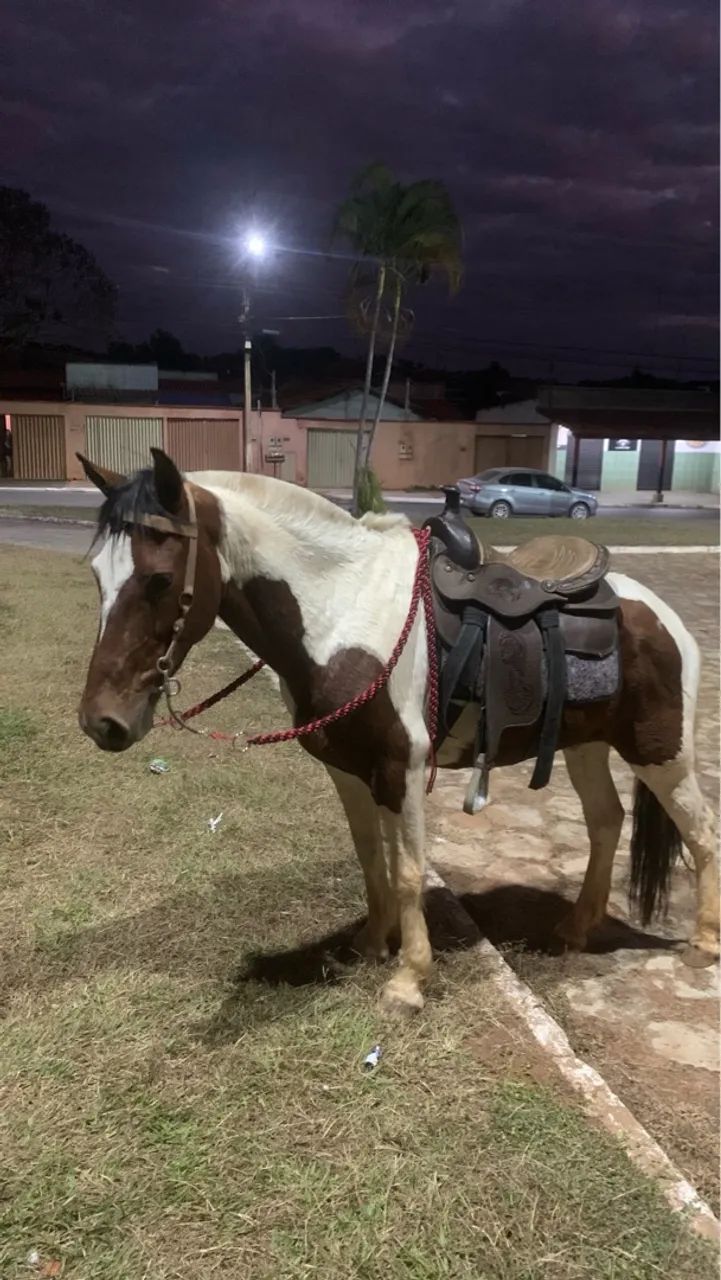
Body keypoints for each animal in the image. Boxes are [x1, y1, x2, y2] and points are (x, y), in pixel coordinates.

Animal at [76, 448, 719, 1013]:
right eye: (97, 575)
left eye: (160, 580)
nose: (102, 722)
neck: (343, 613)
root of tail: (662, 615)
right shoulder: (348, 769)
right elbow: (371, 857)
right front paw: (369, 944)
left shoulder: (402, 768)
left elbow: (408, 871)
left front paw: (409, 980)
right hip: (587, 744)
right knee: (606, 822)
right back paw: (577, 928)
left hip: (660, 752)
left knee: (700, 831)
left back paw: (703, 944)